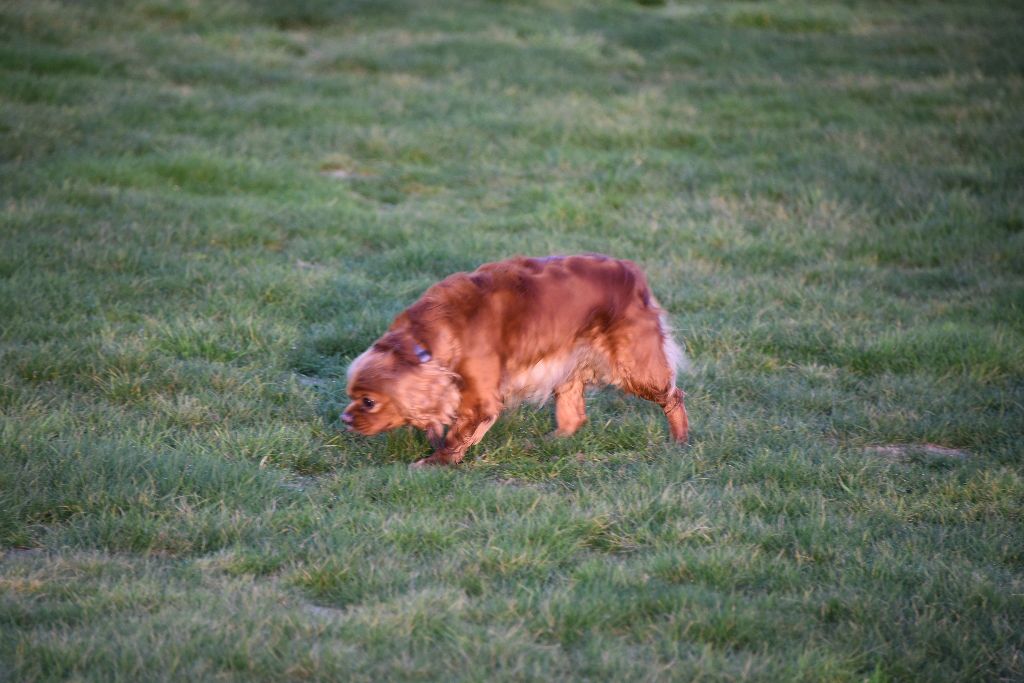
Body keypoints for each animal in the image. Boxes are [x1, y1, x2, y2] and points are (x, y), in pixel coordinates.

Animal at [344, 253, 688, 466]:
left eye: (368, 402)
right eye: (351, 396)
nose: (344, 419)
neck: (428, 339)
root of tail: (631, 271)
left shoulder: (480, 398)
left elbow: (458, 433)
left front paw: (435, 462)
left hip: (634, 366)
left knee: (674, 395)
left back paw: (680, 441)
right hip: (568, 364)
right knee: (573, 416)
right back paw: (550, 441)